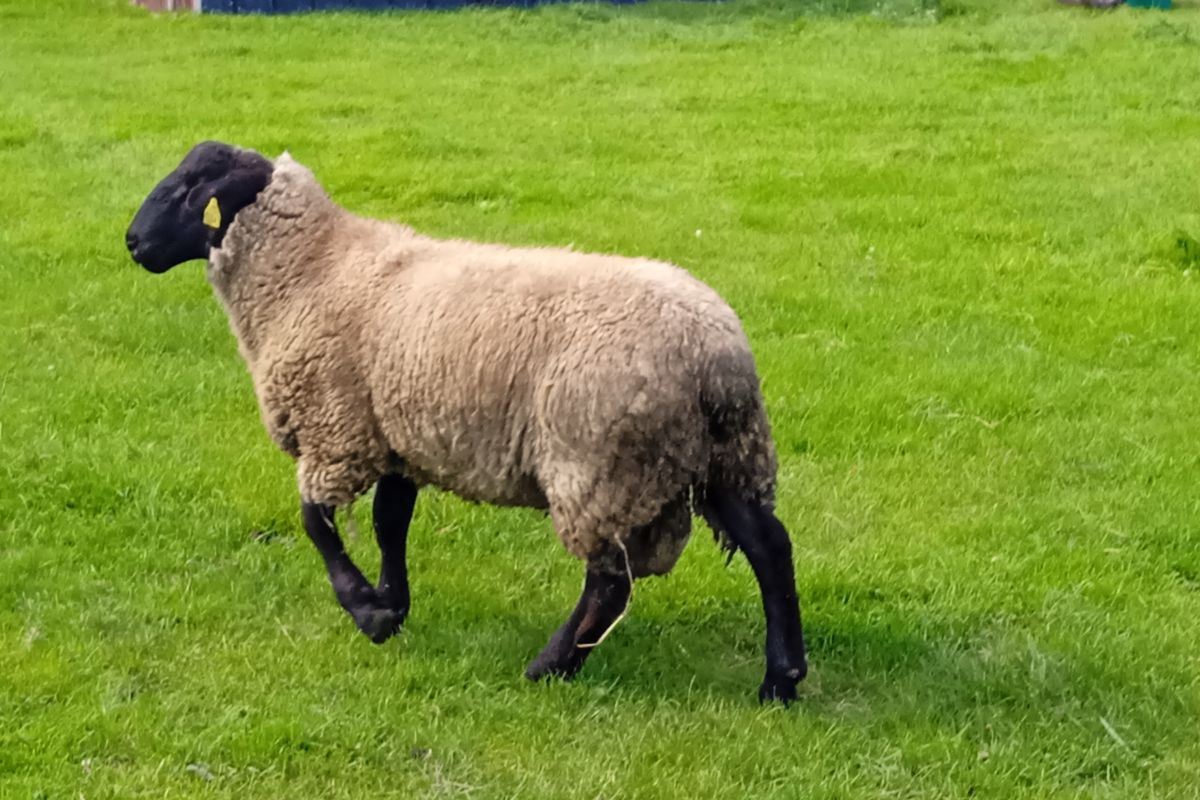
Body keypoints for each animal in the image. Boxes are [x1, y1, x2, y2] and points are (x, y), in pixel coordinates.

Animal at [124, 140, 806, 705]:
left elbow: (317, 523)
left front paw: (367, 612)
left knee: (609, 581)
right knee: (769, 546)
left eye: (189, 187)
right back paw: (781, 680)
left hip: (599, 463)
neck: (312, 269)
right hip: (721, 457)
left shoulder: (337, 433)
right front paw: (392, 606)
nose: (132, 242)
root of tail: (717, 356)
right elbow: (389, 523)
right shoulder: (394, 436)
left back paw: (551, 667)